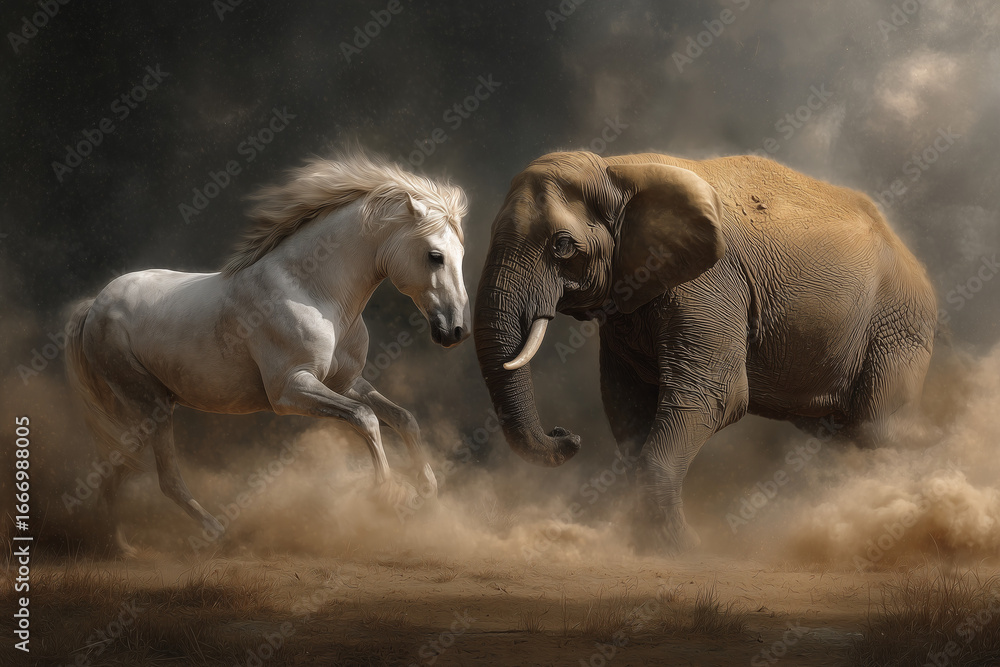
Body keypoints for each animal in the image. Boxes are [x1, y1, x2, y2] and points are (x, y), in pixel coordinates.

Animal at [65, 151, 470, 555]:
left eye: (461, 255)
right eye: (435, 256)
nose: (455, 331)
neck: (313, 291)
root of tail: (95, 304)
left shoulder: (346, 382)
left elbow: (403, 419)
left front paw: (427, 491)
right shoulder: (289, 389)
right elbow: (365, 418)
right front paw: (384, 496)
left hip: (143, 411)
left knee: (117, 469)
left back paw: (121, 547)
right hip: (152, 407)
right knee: (165, 480)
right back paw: (211, 535)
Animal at [473, 150, 937, 553]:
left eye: (562, 246)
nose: (566, 435)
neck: (618, 171)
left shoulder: (708, 287)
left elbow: (719, 396)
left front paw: (684, 550)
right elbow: (627, 402)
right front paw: (646, 546)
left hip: (897, 329)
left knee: (874, 428)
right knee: (845, 434)